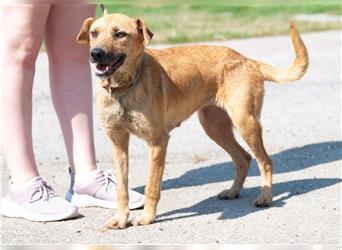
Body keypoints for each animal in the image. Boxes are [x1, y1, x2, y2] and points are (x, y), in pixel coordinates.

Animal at [76, 12, 308, 229]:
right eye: (93, 33)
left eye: (120, 34)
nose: (95, 54)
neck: (125, 88)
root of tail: (246, 60)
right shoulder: (118, 143)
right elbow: (122, 190)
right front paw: (121, 218)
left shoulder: (158, 142)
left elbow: (152, 186)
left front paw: (148, 217)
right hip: (215, 127)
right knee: (243, 158)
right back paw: (233, 191)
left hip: (246, 123)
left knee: (265, 161)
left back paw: (265, 197)